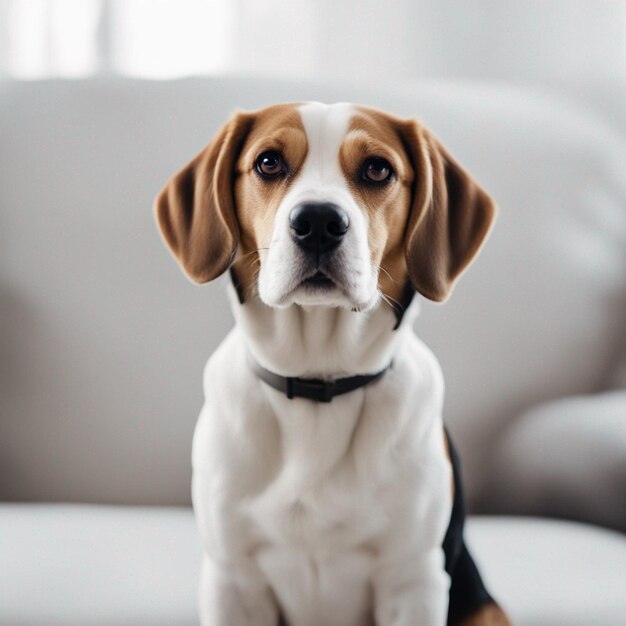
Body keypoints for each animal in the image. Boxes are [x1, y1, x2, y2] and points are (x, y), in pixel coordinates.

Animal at [155, 102, 508, 624]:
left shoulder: (414, 580)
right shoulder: (232, 581)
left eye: (378, 169)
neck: (316, 383)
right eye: (268, 162)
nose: (319, 221)